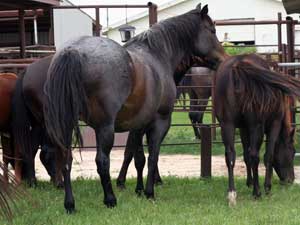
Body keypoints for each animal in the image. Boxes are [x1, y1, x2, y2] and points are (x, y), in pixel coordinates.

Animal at [41, 4, 225, 213]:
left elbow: (137, 158)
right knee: (102, 161)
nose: (225, 58)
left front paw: (138, 189)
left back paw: (70, 204)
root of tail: (73, 51)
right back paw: (110, 199)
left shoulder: (138, 125)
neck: (158, 56)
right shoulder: (160, 122)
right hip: (105, 128)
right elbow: (152, 157)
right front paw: (149, 192)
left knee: (66, 159)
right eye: (212, 30)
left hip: (67, 123)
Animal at [214, 54, 300, 206]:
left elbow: (245, 155)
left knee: (230, 156)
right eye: (293, 151)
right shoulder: (274, 125)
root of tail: (238, 66)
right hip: (256, 127)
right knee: (255, 155)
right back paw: (257, 192)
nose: (290, 180)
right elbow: (268, 155)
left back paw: (232, 194)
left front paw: (249, 182)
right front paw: (267, 187)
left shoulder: (243, 128)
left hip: (227, 124)